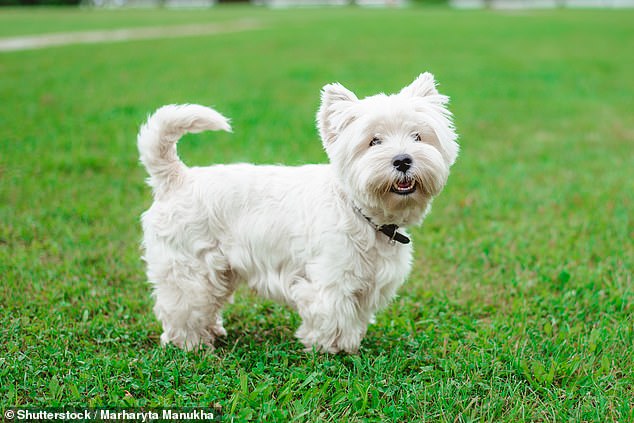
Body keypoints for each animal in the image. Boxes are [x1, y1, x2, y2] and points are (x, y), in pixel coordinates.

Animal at [137, 73, 454, 354]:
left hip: (220, 271)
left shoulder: (368, 284)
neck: (362, 215)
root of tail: (176, 178)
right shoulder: (330, 280)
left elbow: (354, 318)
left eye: (418, 136)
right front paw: (331, 350)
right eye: (374, 141)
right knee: (183, 308)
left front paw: (349, 345)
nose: (402, 160)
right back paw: (191, 344)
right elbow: (333, 318)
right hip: (188, 269)